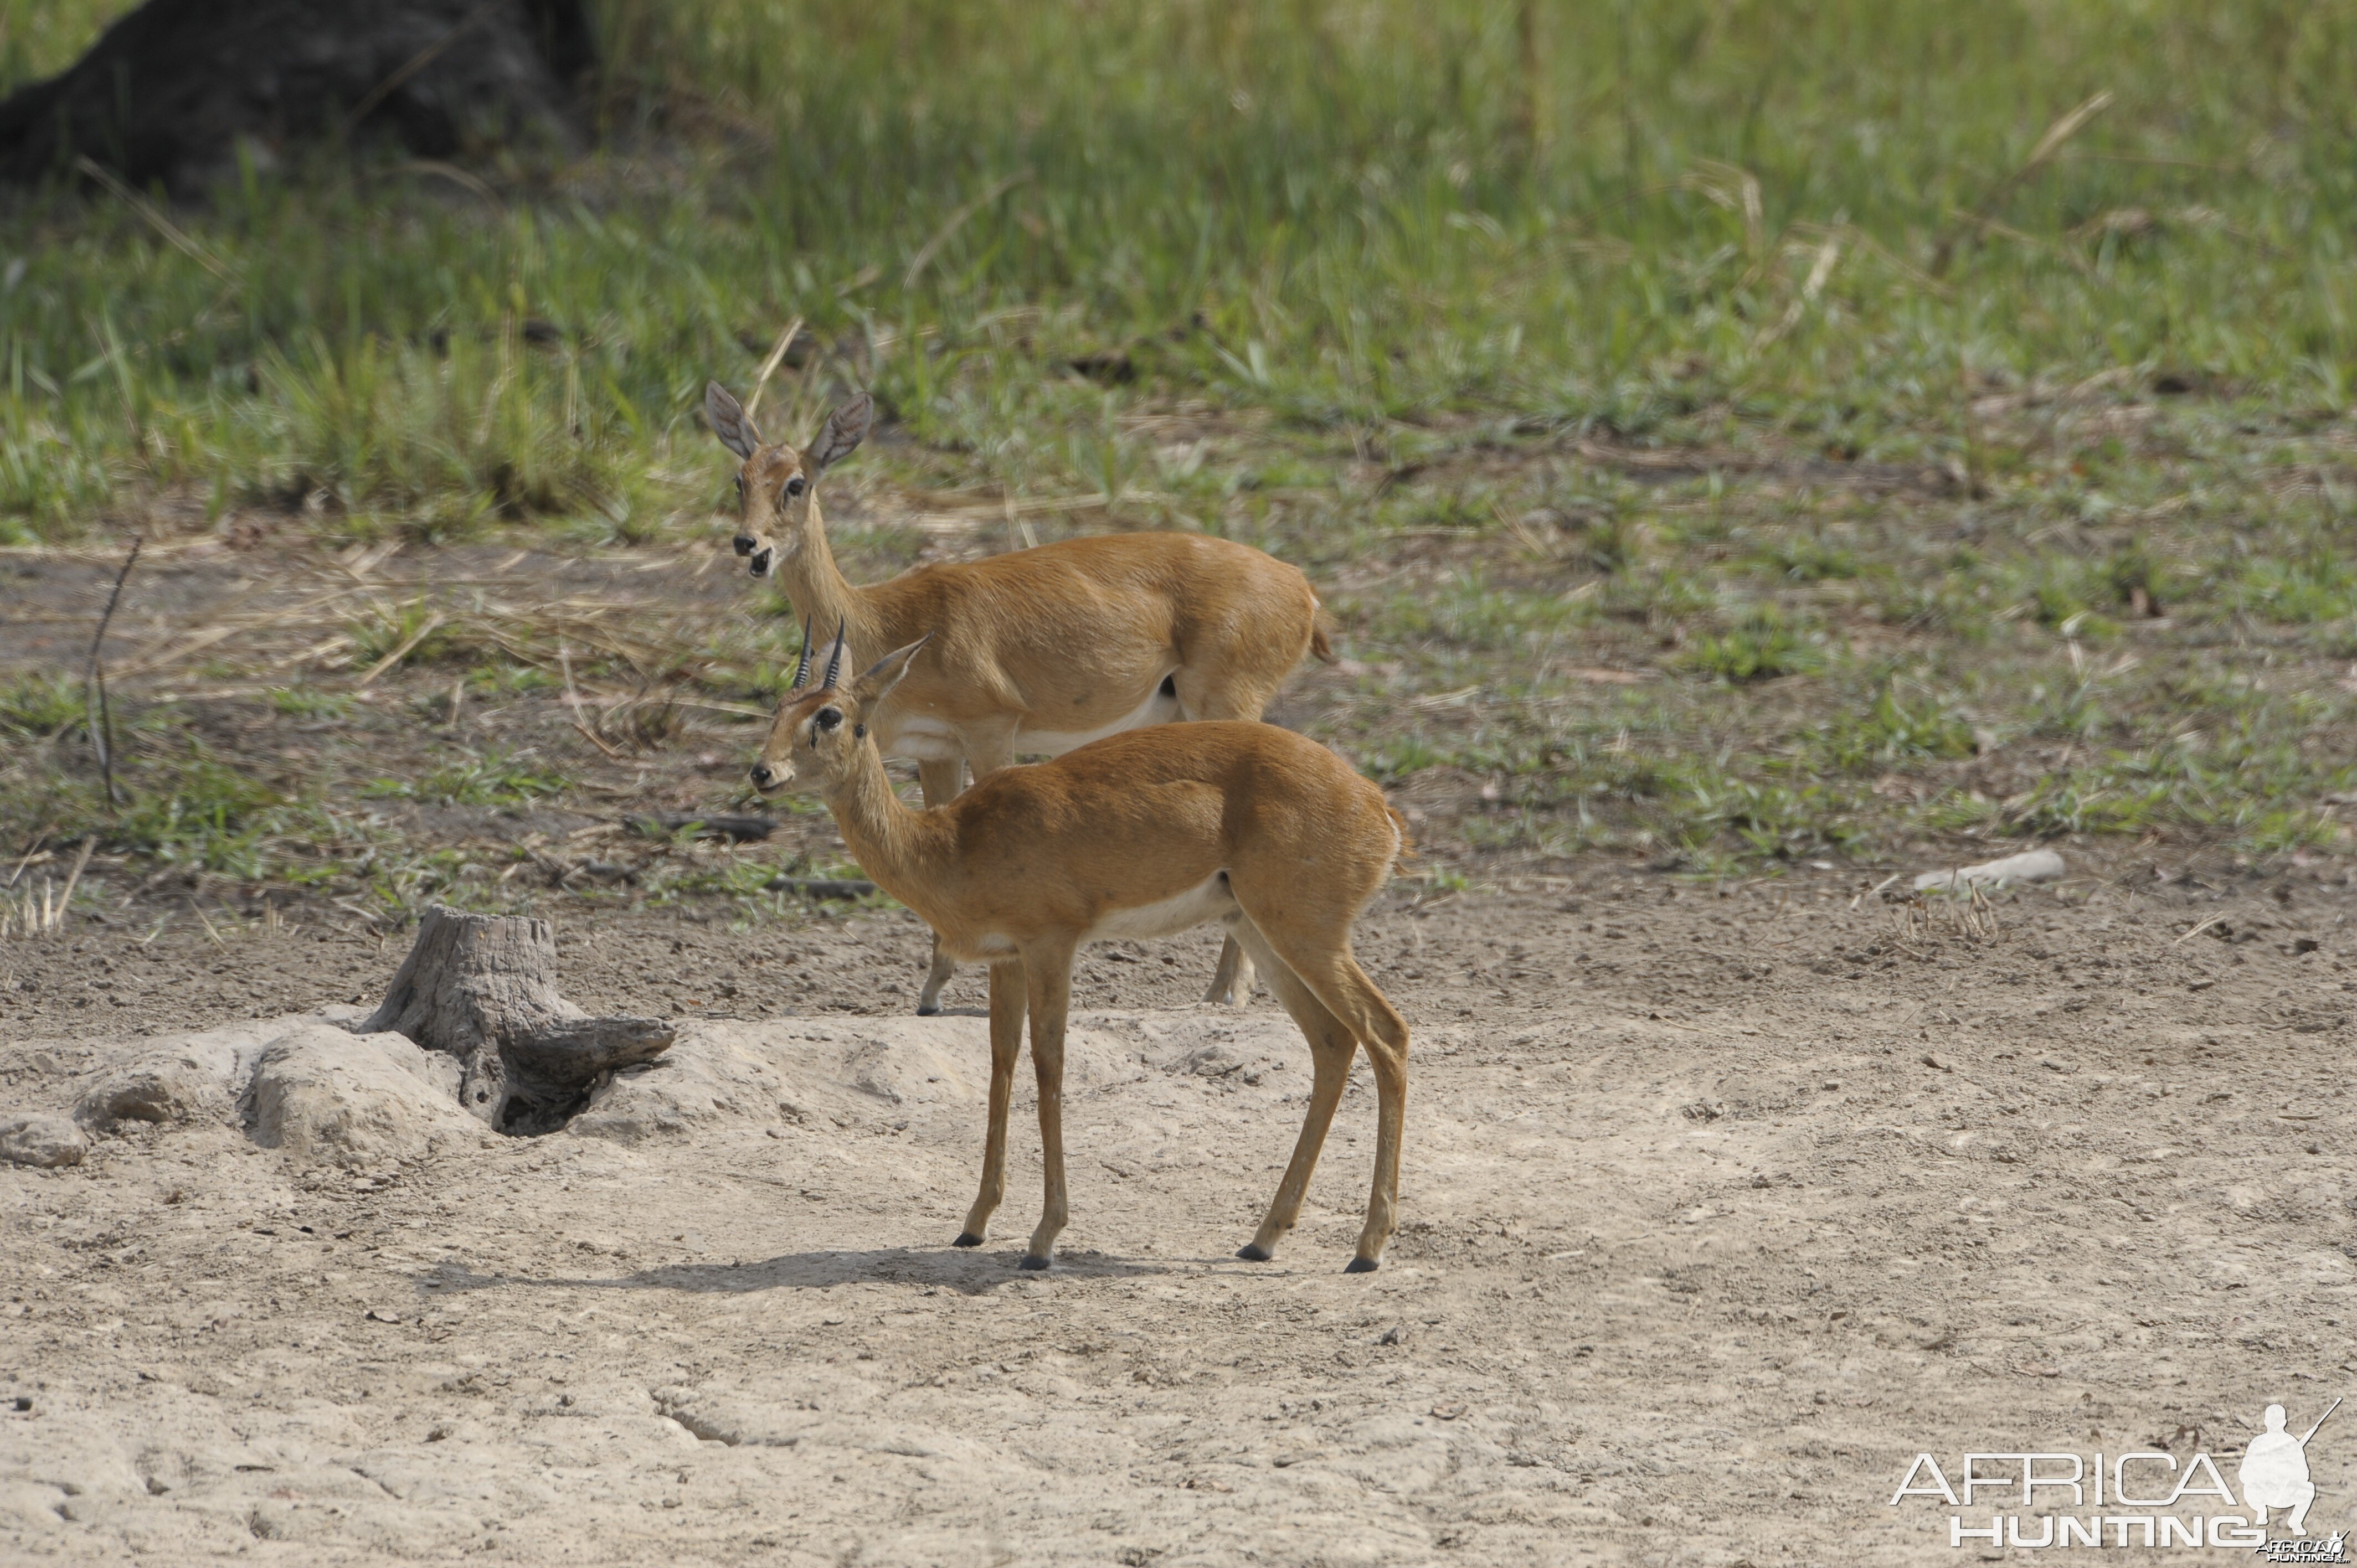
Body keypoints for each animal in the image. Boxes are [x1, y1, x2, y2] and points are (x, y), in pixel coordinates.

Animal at [697, 381, 1329, 1014]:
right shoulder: (936, 751)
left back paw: (1226, 994)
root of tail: (1302, 587)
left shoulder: (991, 729)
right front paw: (931, 993)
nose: (748, 543)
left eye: (796, 482)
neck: (884, 618)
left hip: (1225, 704)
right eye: (740, 478)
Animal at [763, 622, 1404, 1273]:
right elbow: (1001, 1062)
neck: (951, 844)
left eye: (830, 715)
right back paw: (1263, 1237)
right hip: (1260, 932)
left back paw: (1367, 1248)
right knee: (1333, 1043)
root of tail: (1377, 806)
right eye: (778, 707)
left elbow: (1049, 1064)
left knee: (1387, 1033)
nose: (762, 774)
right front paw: (974, 1224)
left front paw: (1043, 1238)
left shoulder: (1052, 944)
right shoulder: (1006, 958)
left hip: (1307, 934)